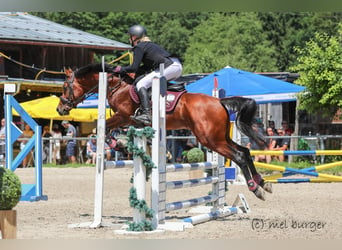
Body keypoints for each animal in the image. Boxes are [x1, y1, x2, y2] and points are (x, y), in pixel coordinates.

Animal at [57, 63, 274, 201]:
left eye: (65, 86)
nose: (60, 109)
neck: (116, 86)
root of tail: (219, 101)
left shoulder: (124, 115)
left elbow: (100, 126)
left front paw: (116, 143)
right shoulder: (127, 119)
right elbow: (107, 128)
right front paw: (118, 143)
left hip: (211, 140)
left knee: (239, 155)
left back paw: (256, 189)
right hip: (219, 137)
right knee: (245, 151)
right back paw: (263, 183)